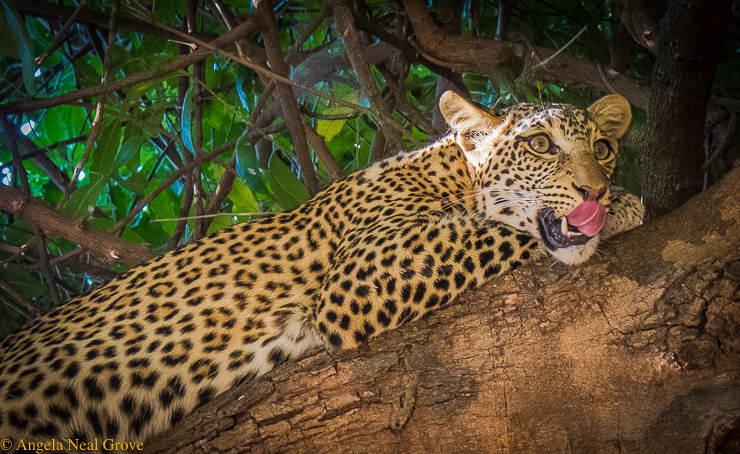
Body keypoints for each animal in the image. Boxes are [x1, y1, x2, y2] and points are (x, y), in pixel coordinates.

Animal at [0, 92, 640, 450]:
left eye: (604, 147)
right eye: (539, 144)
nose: (597, 191)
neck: (450, 171)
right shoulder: (365, 268)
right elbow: (489, 229)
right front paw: (629, 207)